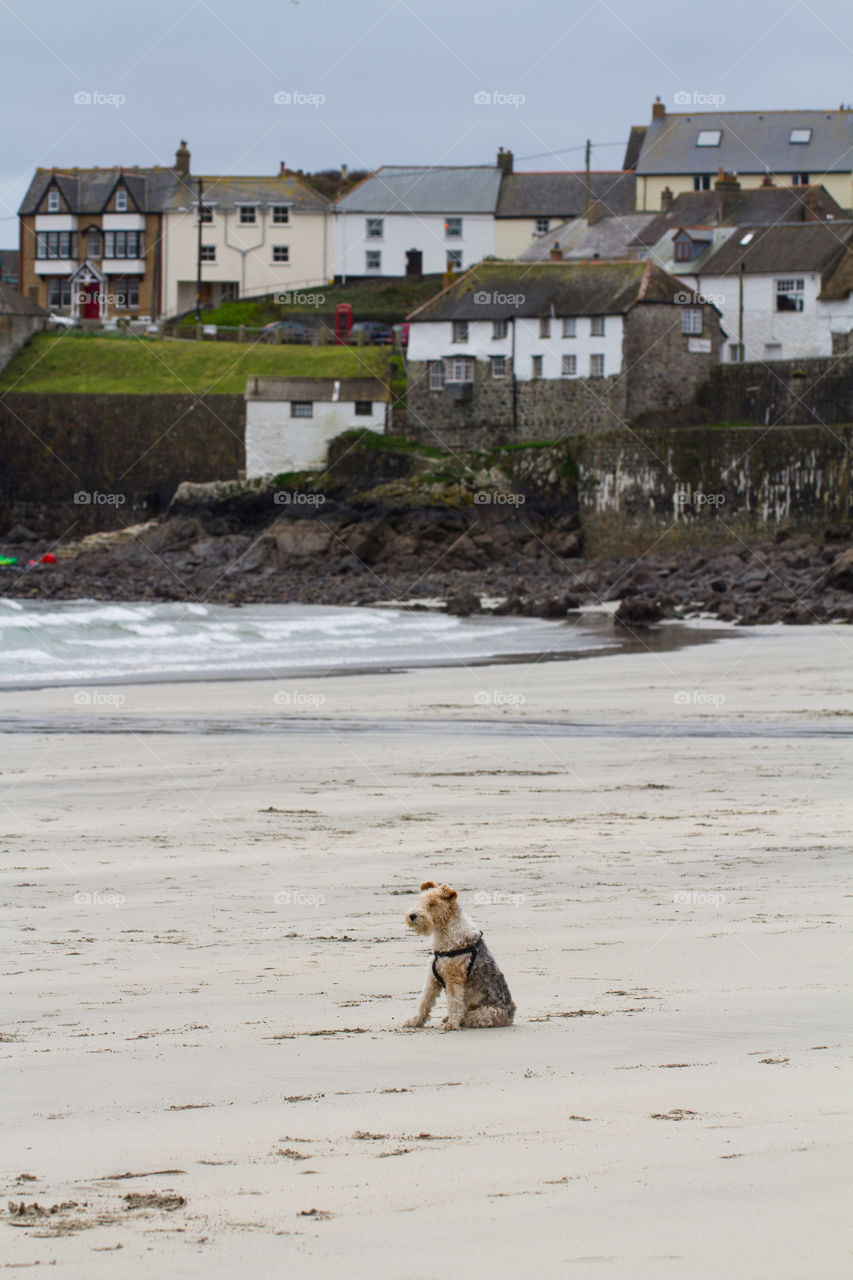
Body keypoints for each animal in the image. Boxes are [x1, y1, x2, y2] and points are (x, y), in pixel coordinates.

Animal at [404, 880, 514, 1029]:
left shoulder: (453, 978)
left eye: (433, 903)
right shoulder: (431, 979)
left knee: (467, 1016)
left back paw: (455, 1020)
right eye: (420, 900)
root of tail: (511, 1015)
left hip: (484, 1014)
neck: (446, 938)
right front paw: (415, 1021)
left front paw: (452, 1024)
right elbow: (424, 1001)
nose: (412, 916)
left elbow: (454, 1002)